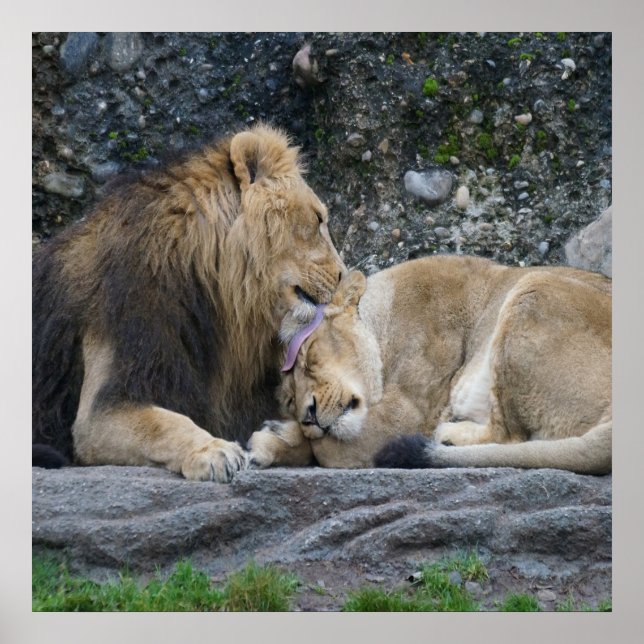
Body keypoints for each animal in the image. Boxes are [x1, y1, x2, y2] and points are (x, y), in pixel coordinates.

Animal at [32, 124, 346, 481]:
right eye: (318, 219)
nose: (343, 276)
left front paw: (274, 438)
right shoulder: (104, 405)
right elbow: (164, 424)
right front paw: (214, 451)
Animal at [248, 254, 611, 475]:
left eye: (309, 358)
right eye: (290, 399)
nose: (308, 416)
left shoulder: (407, 414)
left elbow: (326, 449)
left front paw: (277, 437)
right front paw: (275, 439)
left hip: (533, 288)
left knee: (512, 437)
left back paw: (447, 436)